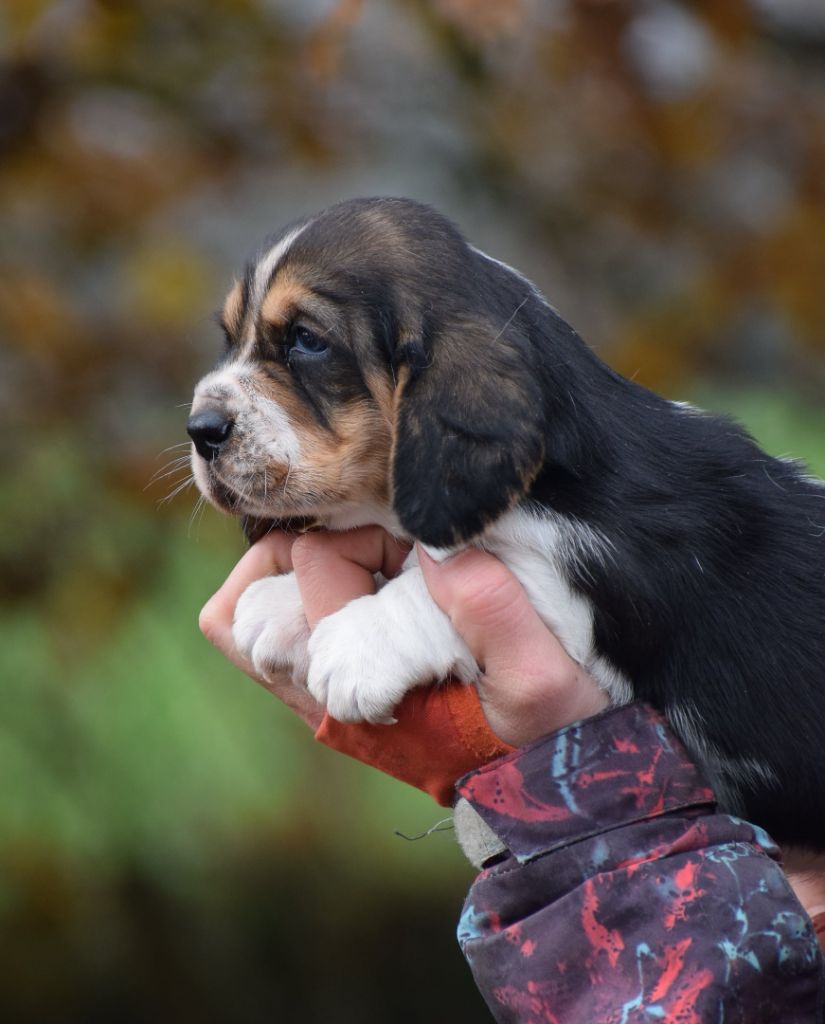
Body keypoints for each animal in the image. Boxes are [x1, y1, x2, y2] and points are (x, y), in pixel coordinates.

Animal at [189, 195, 825, 851]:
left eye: (306, 340)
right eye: (230, 337)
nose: (200, 430)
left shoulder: (589, 594)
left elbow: (439, 582)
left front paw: (357, 642)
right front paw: (282, 605)